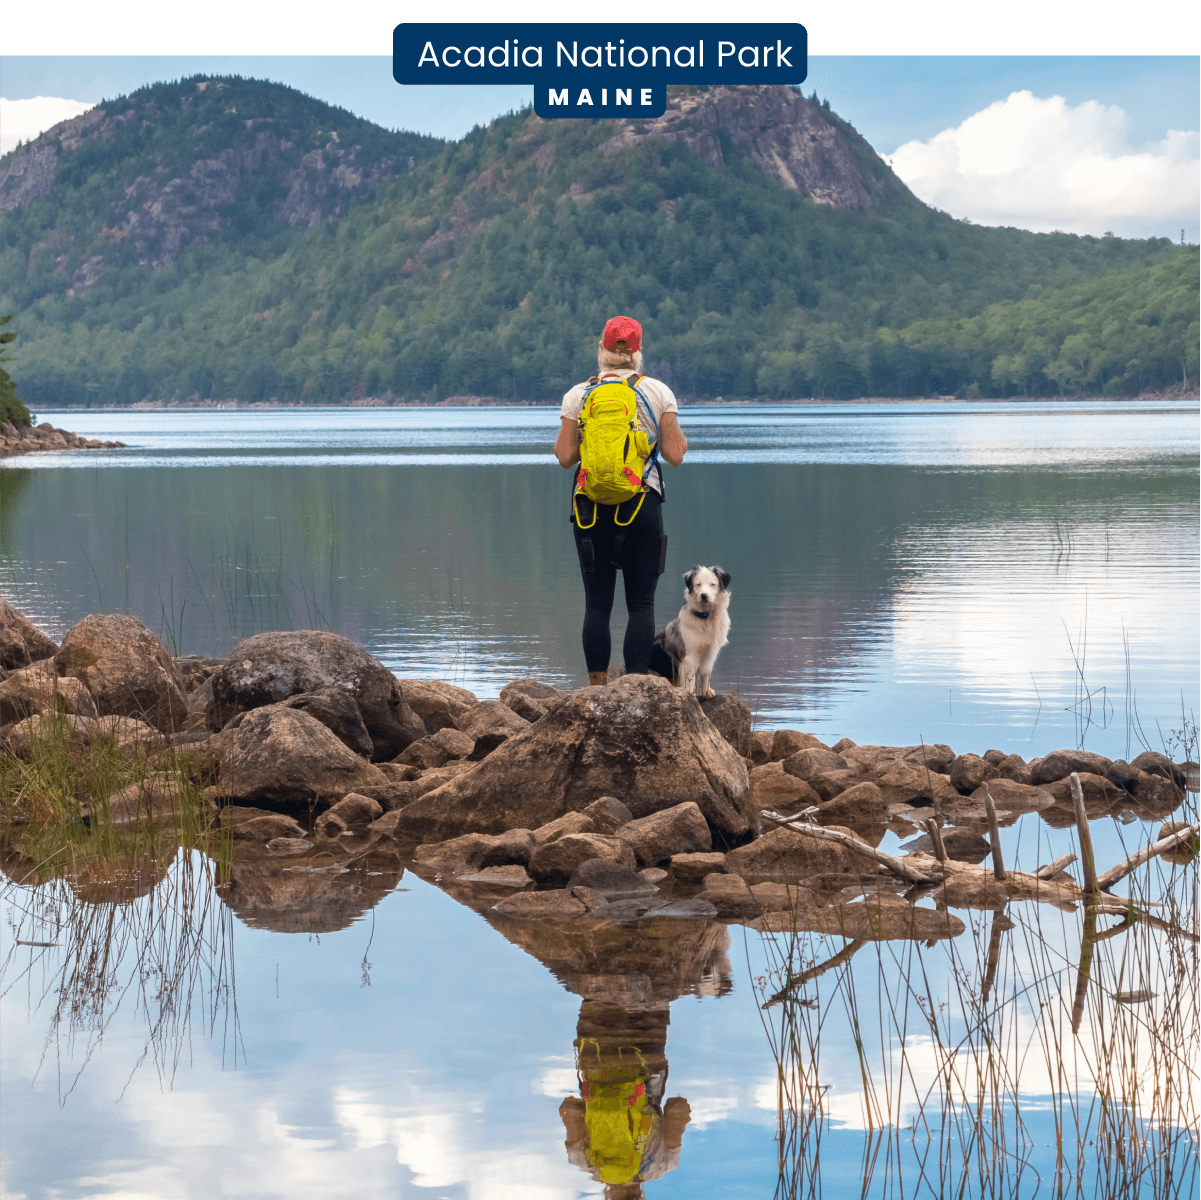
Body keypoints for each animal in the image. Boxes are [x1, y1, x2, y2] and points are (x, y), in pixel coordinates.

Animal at [648, 566, 730, 701]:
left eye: (713, 584)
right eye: (698, 584)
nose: (704, 596)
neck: (706, 618)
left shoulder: (710, 653)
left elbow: (705, 674)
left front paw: (706, 692)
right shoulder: (690, 657)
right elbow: (690, 681)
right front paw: (690, 695)